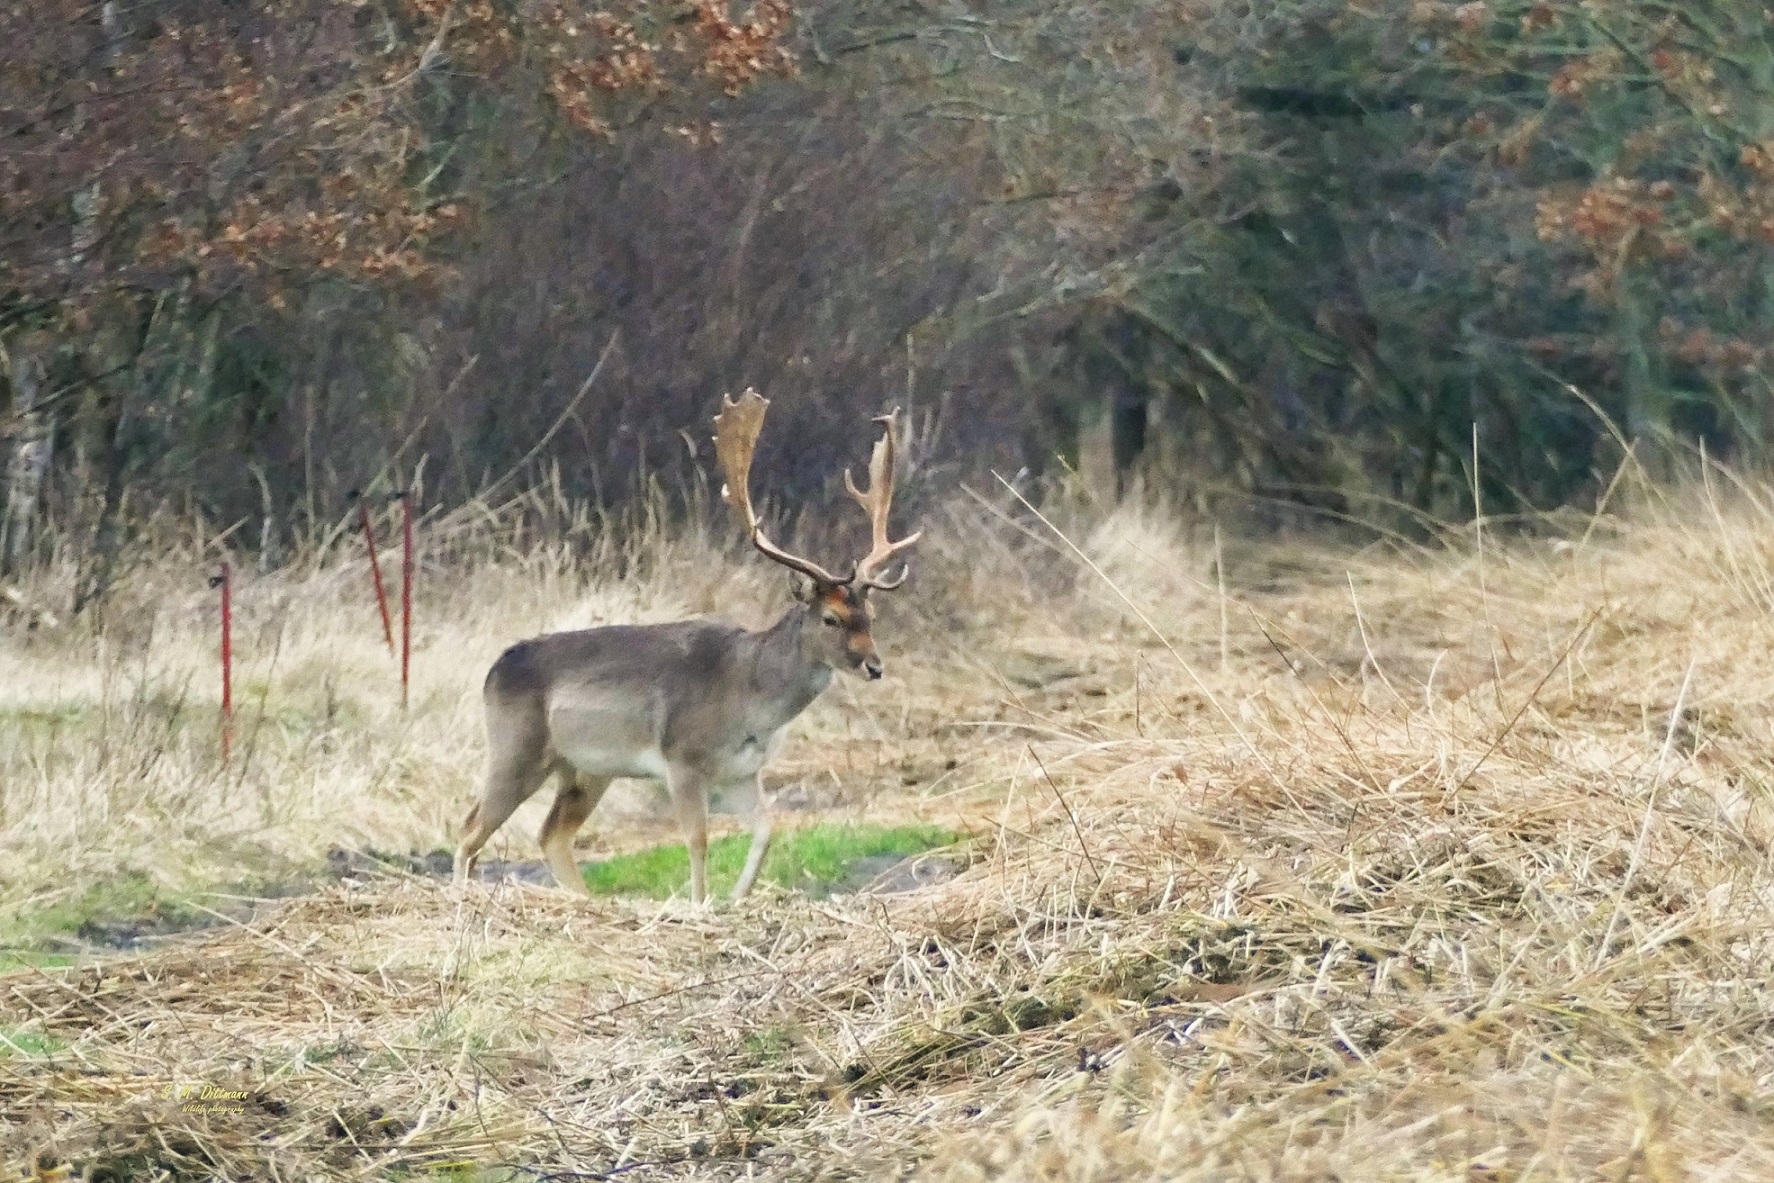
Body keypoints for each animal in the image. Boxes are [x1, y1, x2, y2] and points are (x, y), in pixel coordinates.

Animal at [454, 393, 929, 900]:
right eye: (831, 618)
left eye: (871, 615)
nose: (874, 666)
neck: (750, 702)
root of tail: (494, 670)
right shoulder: (681, 758)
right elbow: (697, 840)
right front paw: (699, 904)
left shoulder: (742, 771)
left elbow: (766, 831)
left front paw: (736, 897)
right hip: (515, 747)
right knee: (470, 830)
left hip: (586, 769)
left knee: (551, 834)